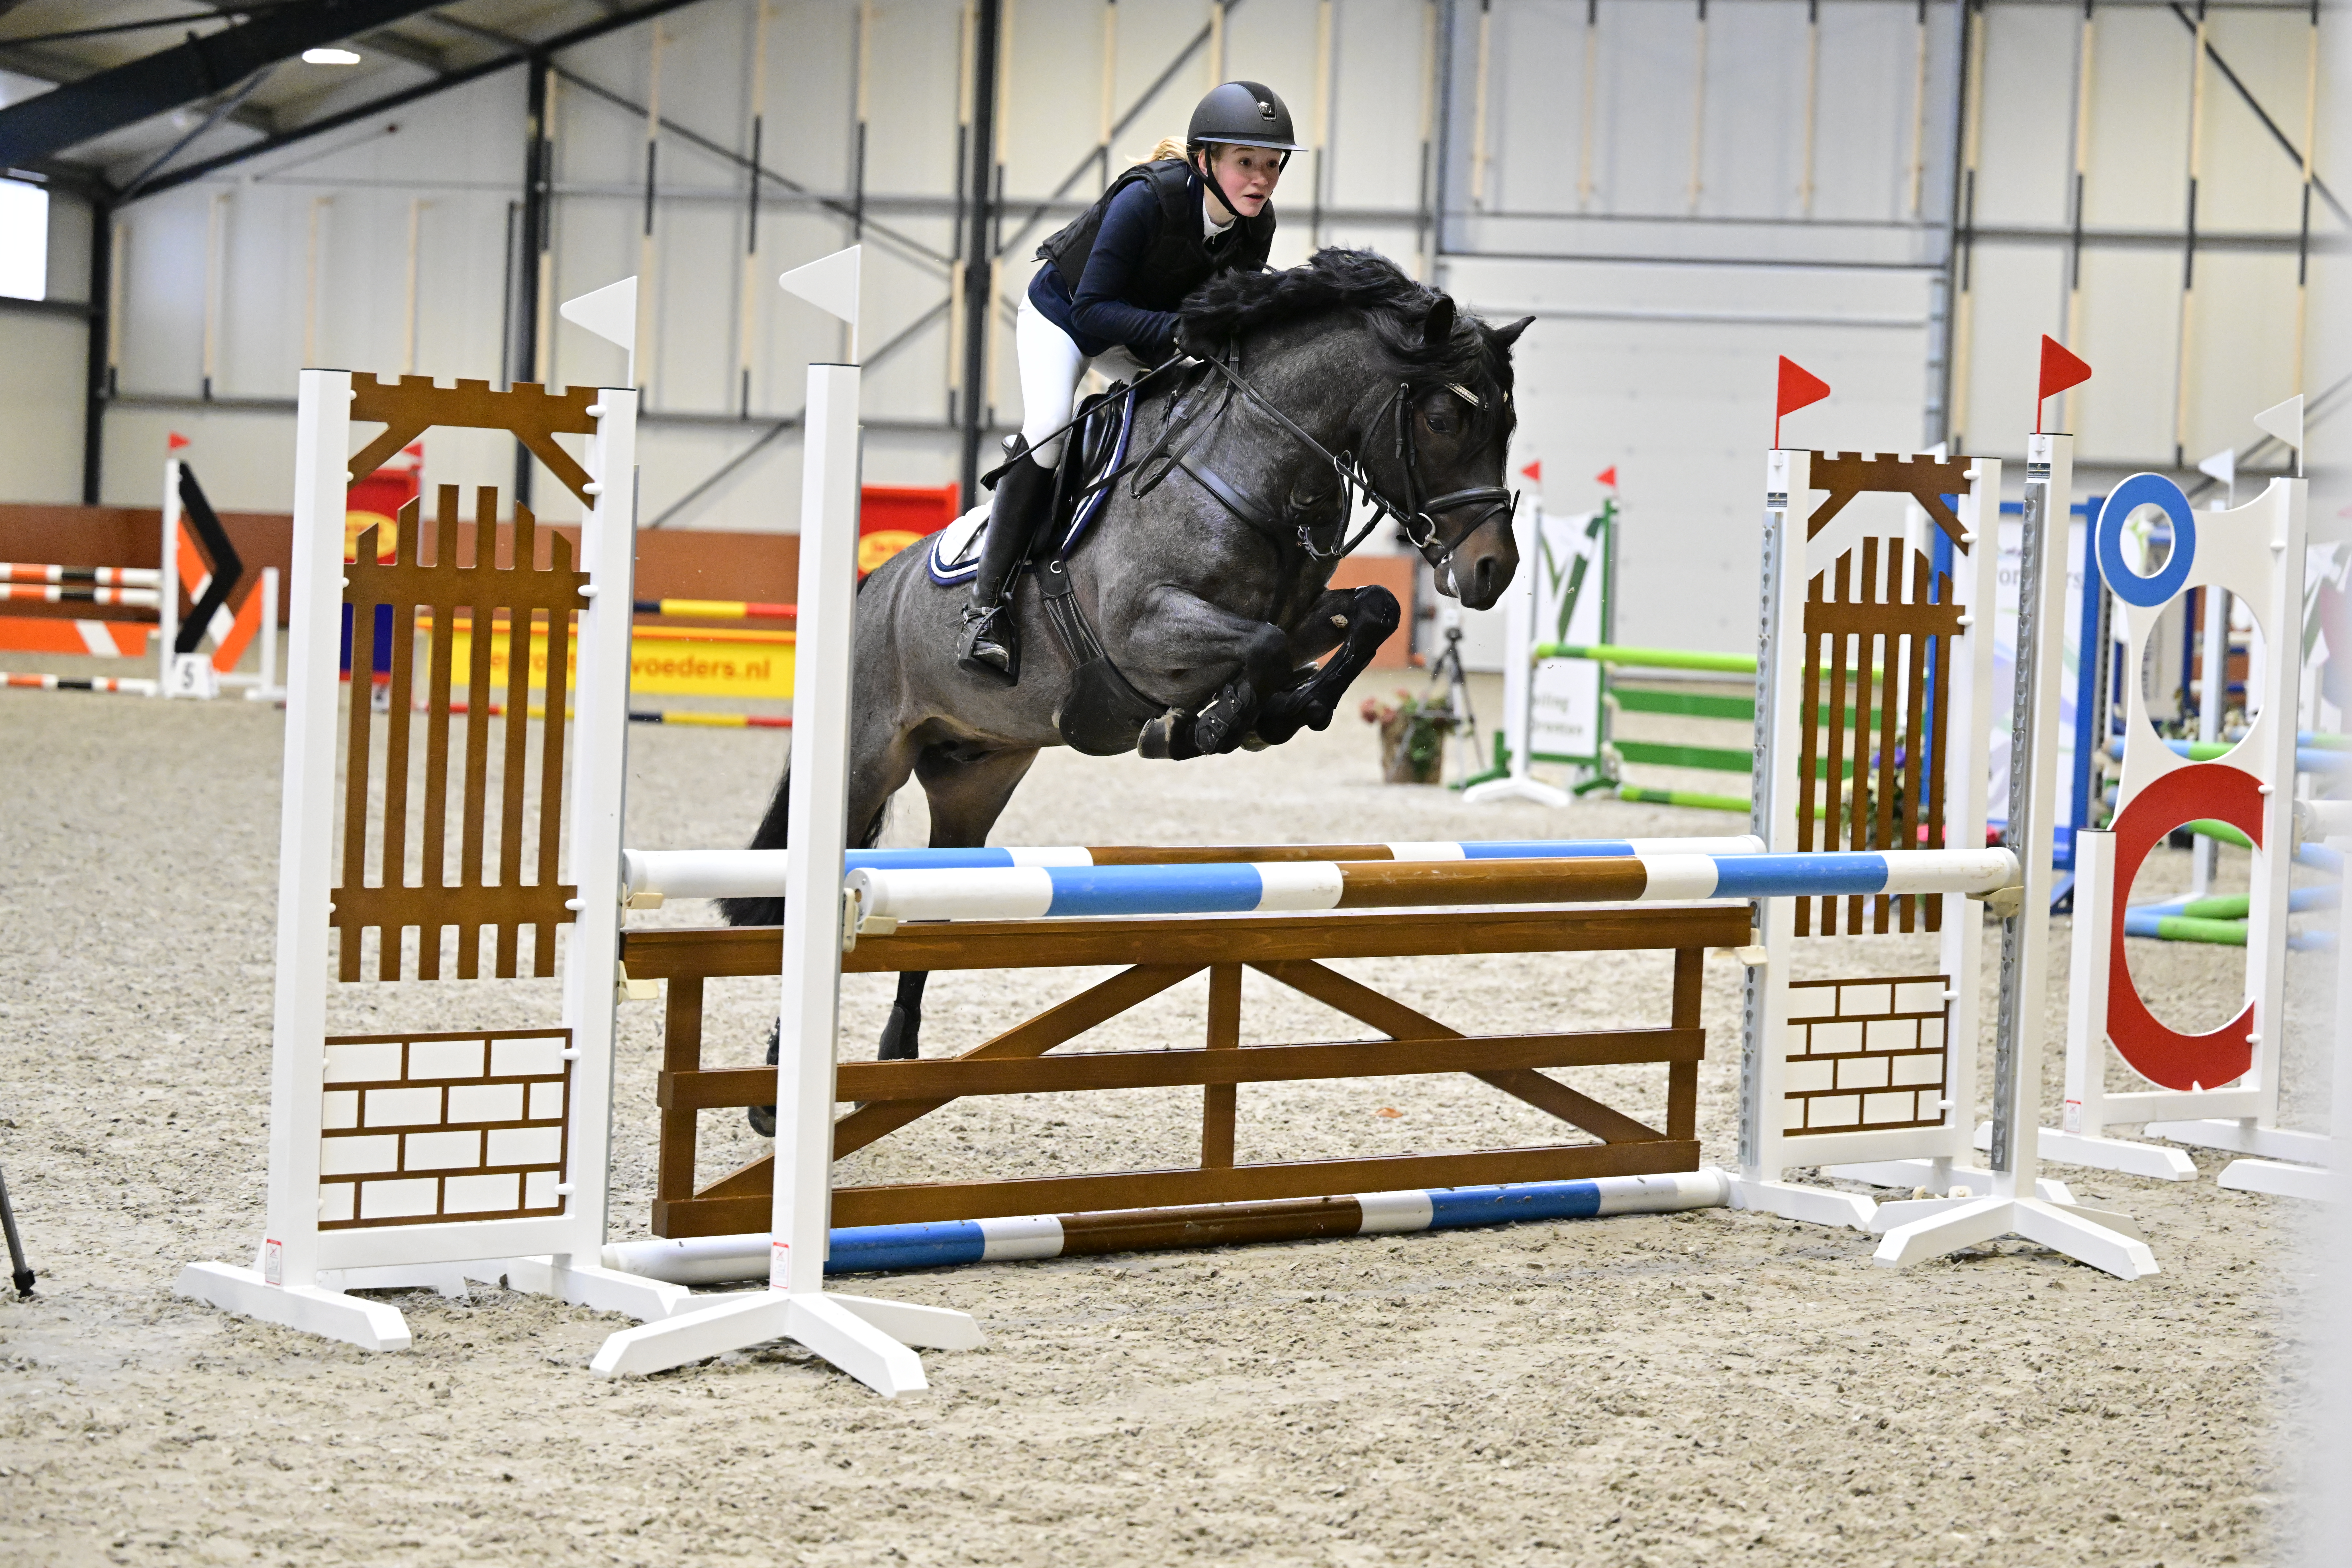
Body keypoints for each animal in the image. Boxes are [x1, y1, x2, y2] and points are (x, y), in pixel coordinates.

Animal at [724, 247, 1530, 1104]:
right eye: (1443, 420)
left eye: (1506, 425)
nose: (1493, 571)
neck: (1253, 468)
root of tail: (872, 586)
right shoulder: (1142, 631)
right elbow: (1261, 647)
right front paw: (1211, 725)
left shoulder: (1303, 609)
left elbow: (1368, 611)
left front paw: (1281, 712)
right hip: (867, 760)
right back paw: (777, 1082)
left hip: (976, 776)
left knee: (944, 885)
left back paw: (897, 1050)